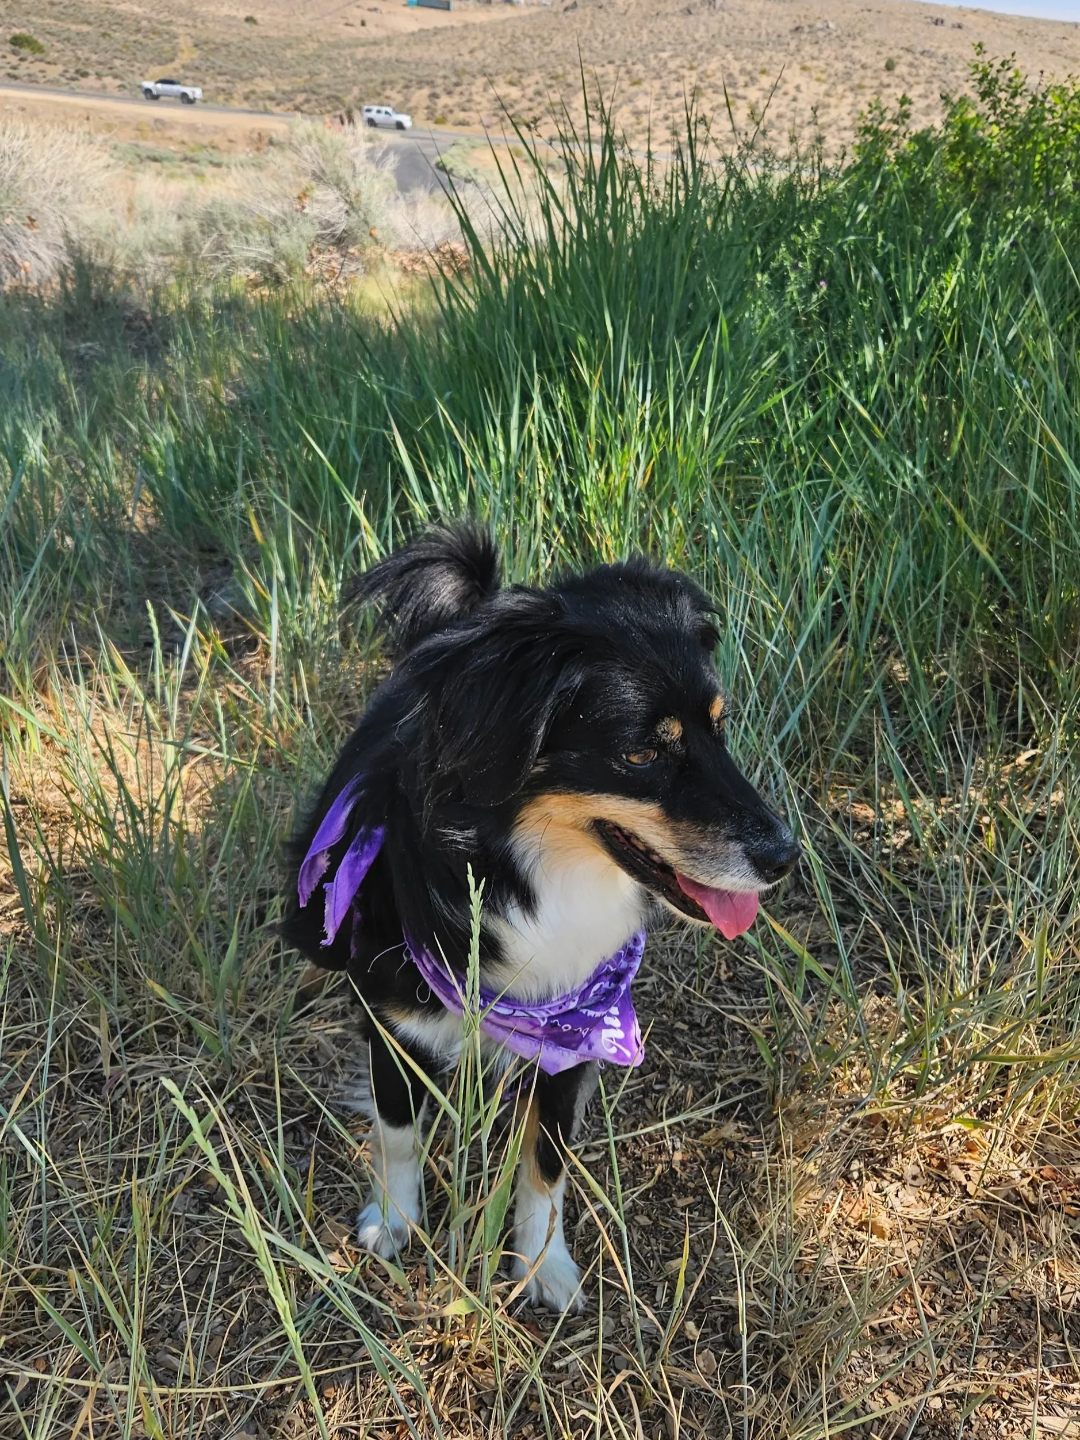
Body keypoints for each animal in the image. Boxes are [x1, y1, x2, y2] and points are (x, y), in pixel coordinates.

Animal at [281, 522, 799, 1313]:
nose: (785, 856)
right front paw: (394, 1221)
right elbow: (397, 1133)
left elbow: (545, 1167)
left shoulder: (573, 1038)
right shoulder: (394, 1027)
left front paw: (541, 1265)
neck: (531, 875)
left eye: (720, 727)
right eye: (640, 752)